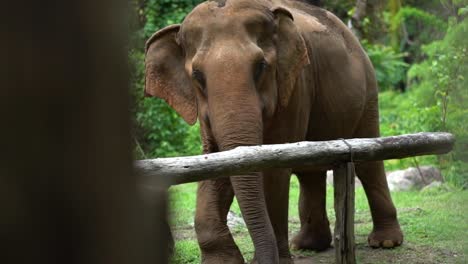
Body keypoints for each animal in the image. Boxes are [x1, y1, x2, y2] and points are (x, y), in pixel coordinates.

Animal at [145, 0, 402, 264]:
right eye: (197, 75)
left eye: (261, 66)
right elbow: (216, 163)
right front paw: (223, 261)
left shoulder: (295, 86)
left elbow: (273, 169)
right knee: (310, 171)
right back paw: (308, 245)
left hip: (368, 92)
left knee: (368, 165)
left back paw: (385, 242)